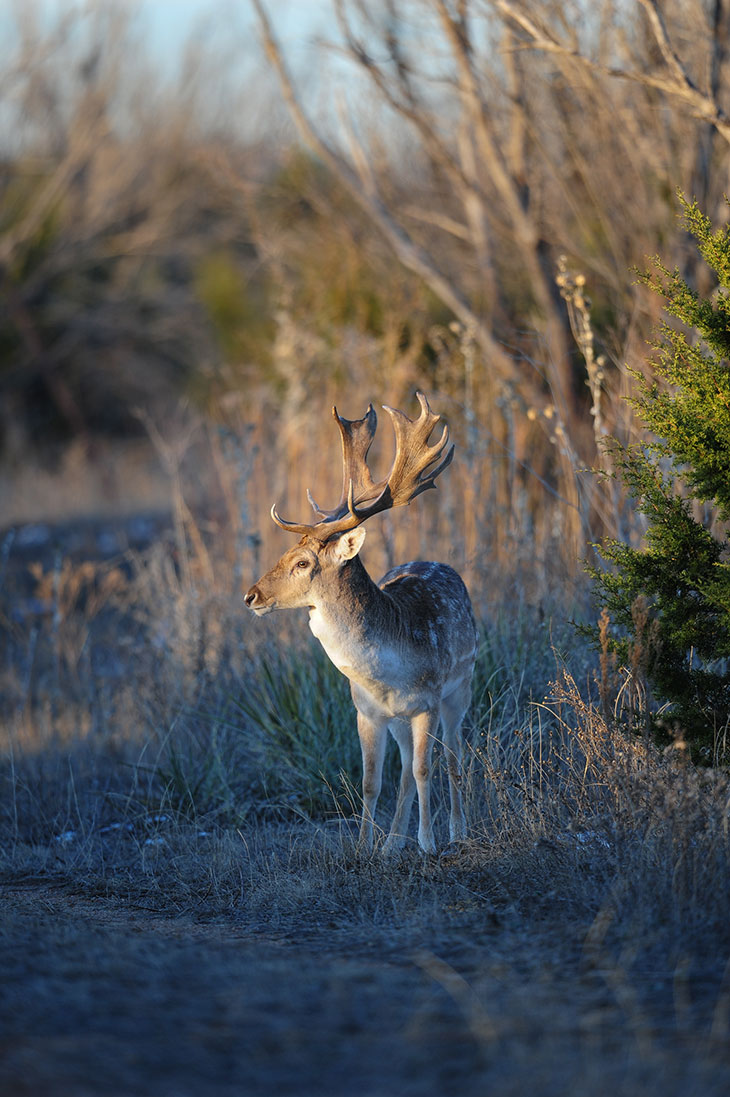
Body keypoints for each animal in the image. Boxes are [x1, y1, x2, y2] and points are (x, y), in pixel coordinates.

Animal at [244, 390, 478, 851]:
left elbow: (425, 769)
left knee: (453, 755)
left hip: (460, 687)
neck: (387, 674)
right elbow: (372, 781)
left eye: (302, 562)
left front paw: (429, 844)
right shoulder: (366, 710)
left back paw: (457, 832)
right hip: (401, 720)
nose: (251, 596)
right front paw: (365, 847)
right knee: (404, 769)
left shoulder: (427, 702)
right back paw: (392, 844)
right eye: (283, 554)